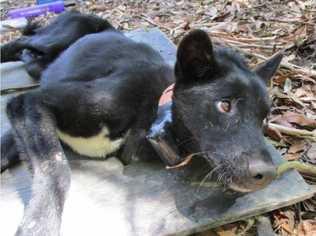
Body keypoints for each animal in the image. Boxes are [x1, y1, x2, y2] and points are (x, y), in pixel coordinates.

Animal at [1, 11, 282, 236]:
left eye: (264, 118)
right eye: (225, 105)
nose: (267, 175)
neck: (153, 113)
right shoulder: (31, 102)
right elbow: (56, 169)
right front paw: (39, 226)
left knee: (29, 57)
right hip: (56, 37)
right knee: (20, 41)